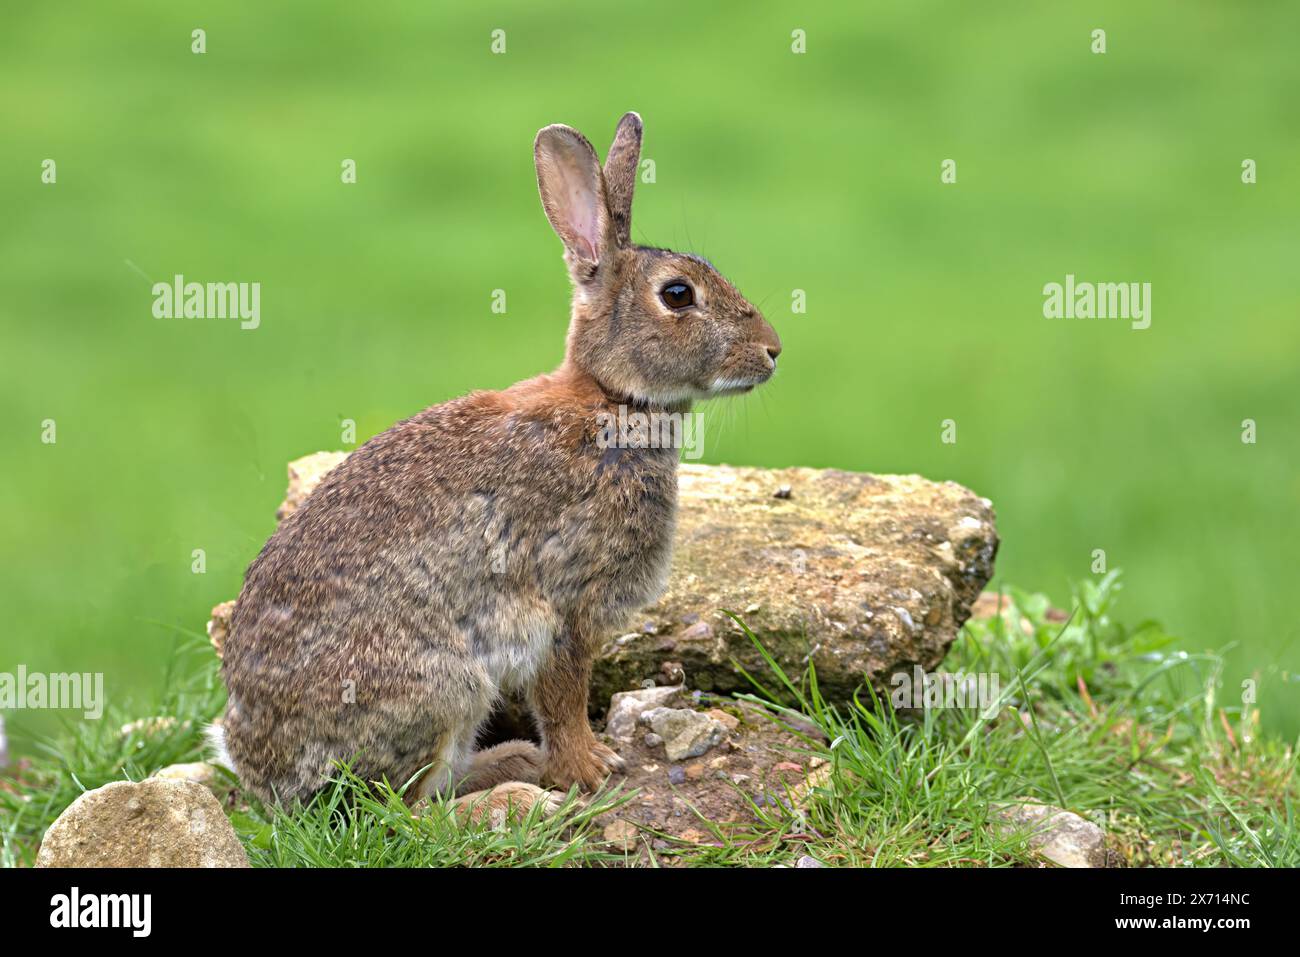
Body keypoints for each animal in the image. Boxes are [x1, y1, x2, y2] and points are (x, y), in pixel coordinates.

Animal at [213, 111, 780, 816]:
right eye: (678, 294)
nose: (772, 350)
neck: (609, 397)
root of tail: (260, 773)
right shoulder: (566, 603)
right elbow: (563, 697)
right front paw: (590, 768)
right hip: (444, 689)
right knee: (406, 805)